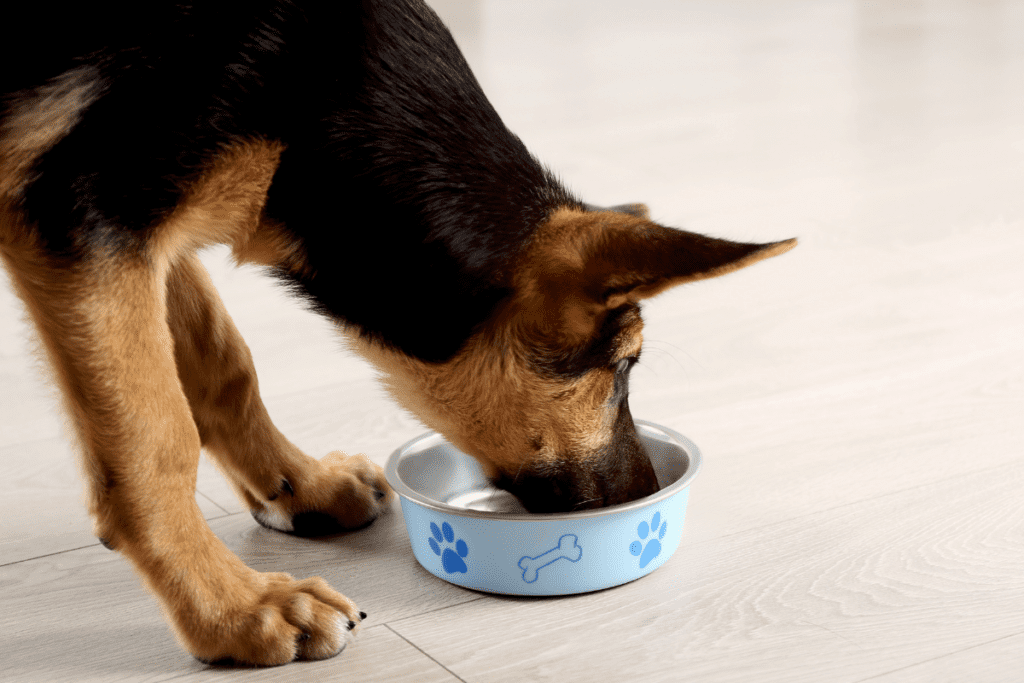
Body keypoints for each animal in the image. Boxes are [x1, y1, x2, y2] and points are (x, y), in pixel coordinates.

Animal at [0, 0, 790, 667]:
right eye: (627, 364)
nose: (647, 498)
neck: (317, 83)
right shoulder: (87, 219)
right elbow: (154, 442)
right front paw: (233, 610)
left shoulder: (143, 227)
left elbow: (222, 362)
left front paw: (295, 484)